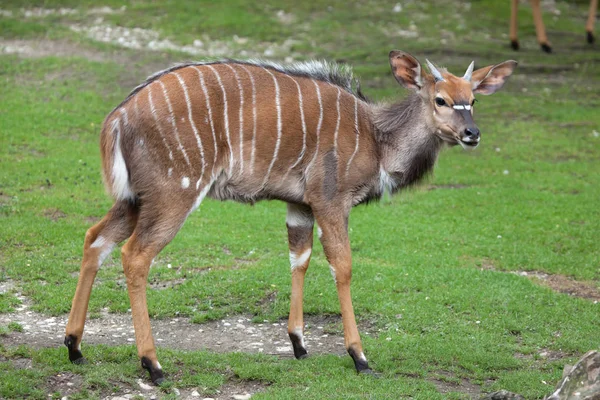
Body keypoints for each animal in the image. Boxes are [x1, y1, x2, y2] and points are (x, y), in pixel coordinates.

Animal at [64, 51, 516, 382]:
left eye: (473, 100)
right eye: (441, 99)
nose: (472, 134)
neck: (377, 138)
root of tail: (118, 117)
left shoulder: (299, 205)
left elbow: (299, 259)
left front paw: (299, 344)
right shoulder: (331, 200)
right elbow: (342, 266)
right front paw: (360, 356)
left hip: (136, 199)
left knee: (95, 238)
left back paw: (75, 347)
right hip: (175, 192)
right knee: (135, 255)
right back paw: (153, 364)